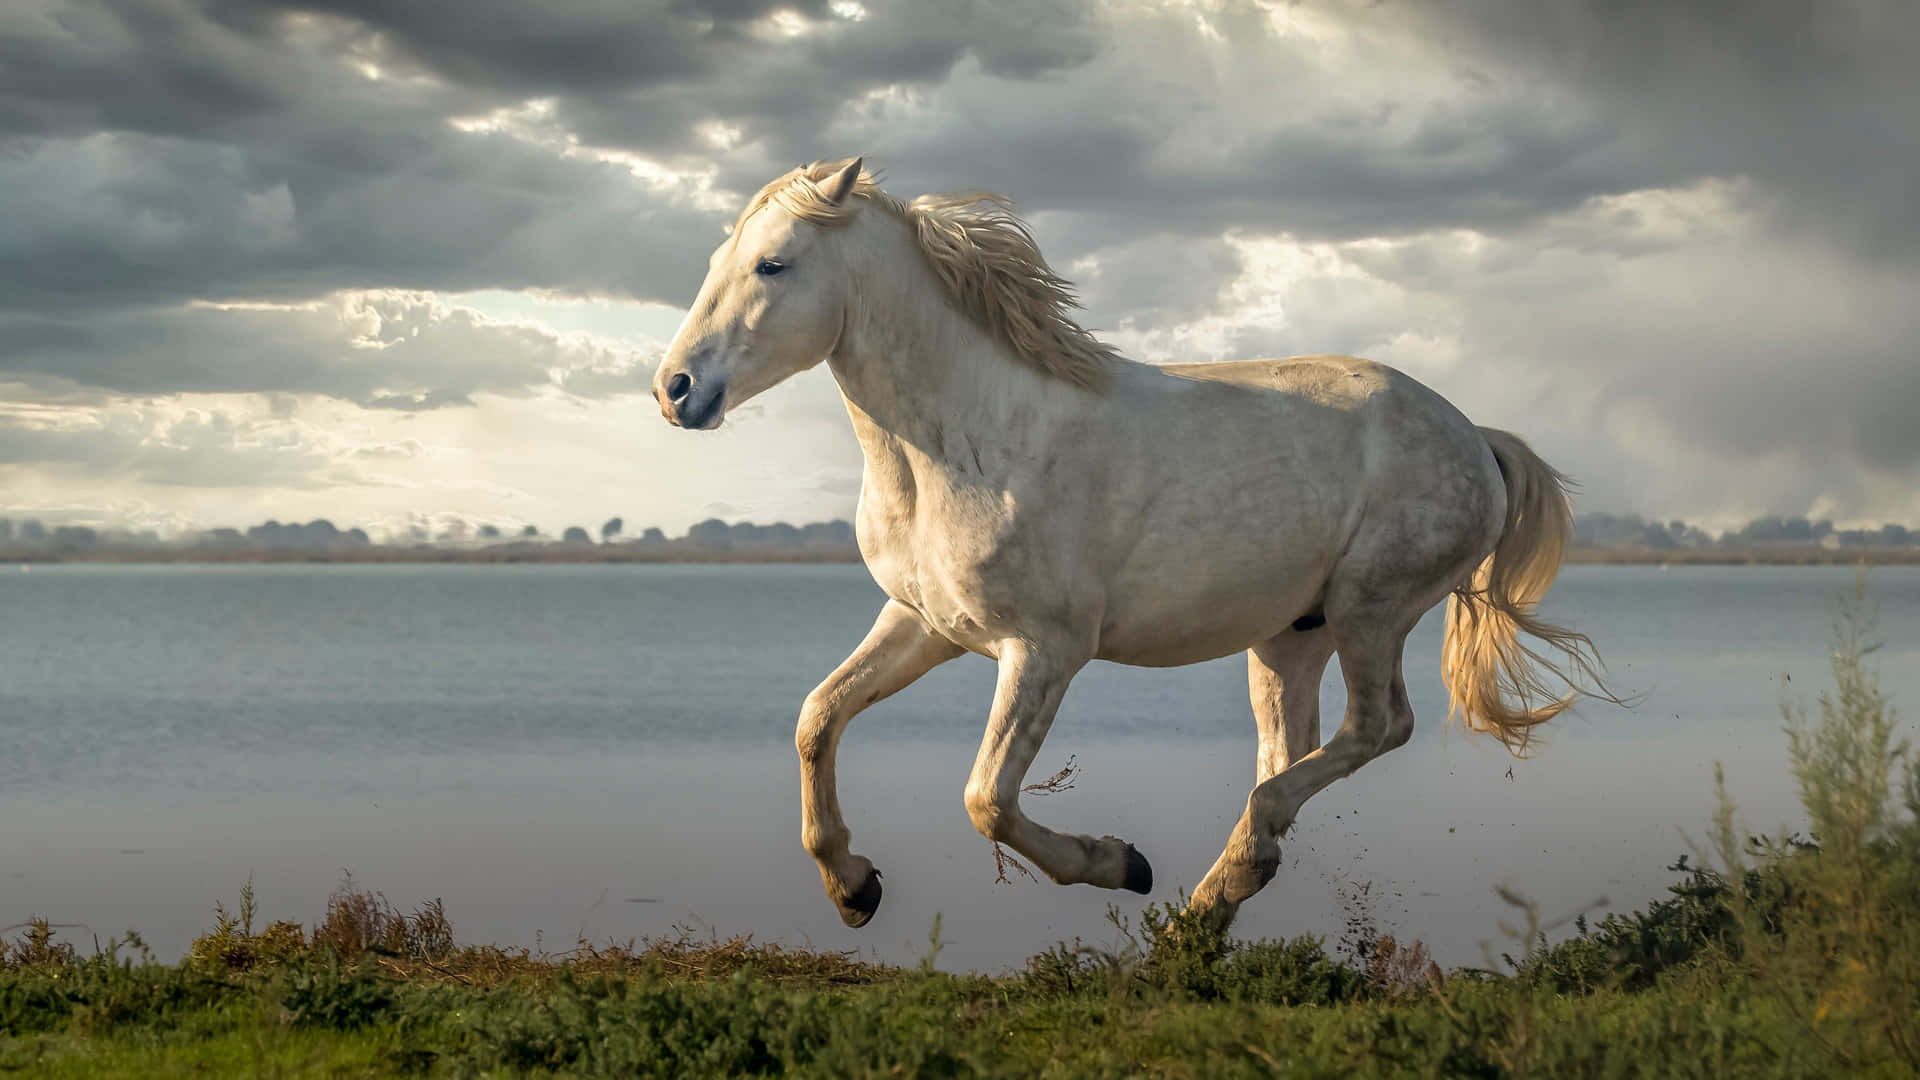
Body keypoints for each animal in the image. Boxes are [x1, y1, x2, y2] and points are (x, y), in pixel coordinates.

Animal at [651, 157, 1607, 933]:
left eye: (773, 264)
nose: (675, 390)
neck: (967, 440)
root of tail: (1475, 438)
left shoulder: (1044, 649)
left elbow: (987, 800)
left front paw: (1121, 863)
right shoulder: (924, 623)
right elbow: (818, 718)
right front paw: (853, 889)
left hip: (1371, 609)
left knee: (1377, 727)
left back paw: (1198, 897)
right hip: (1289, 636)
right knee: (1288, 755)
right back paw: (1208, 910)